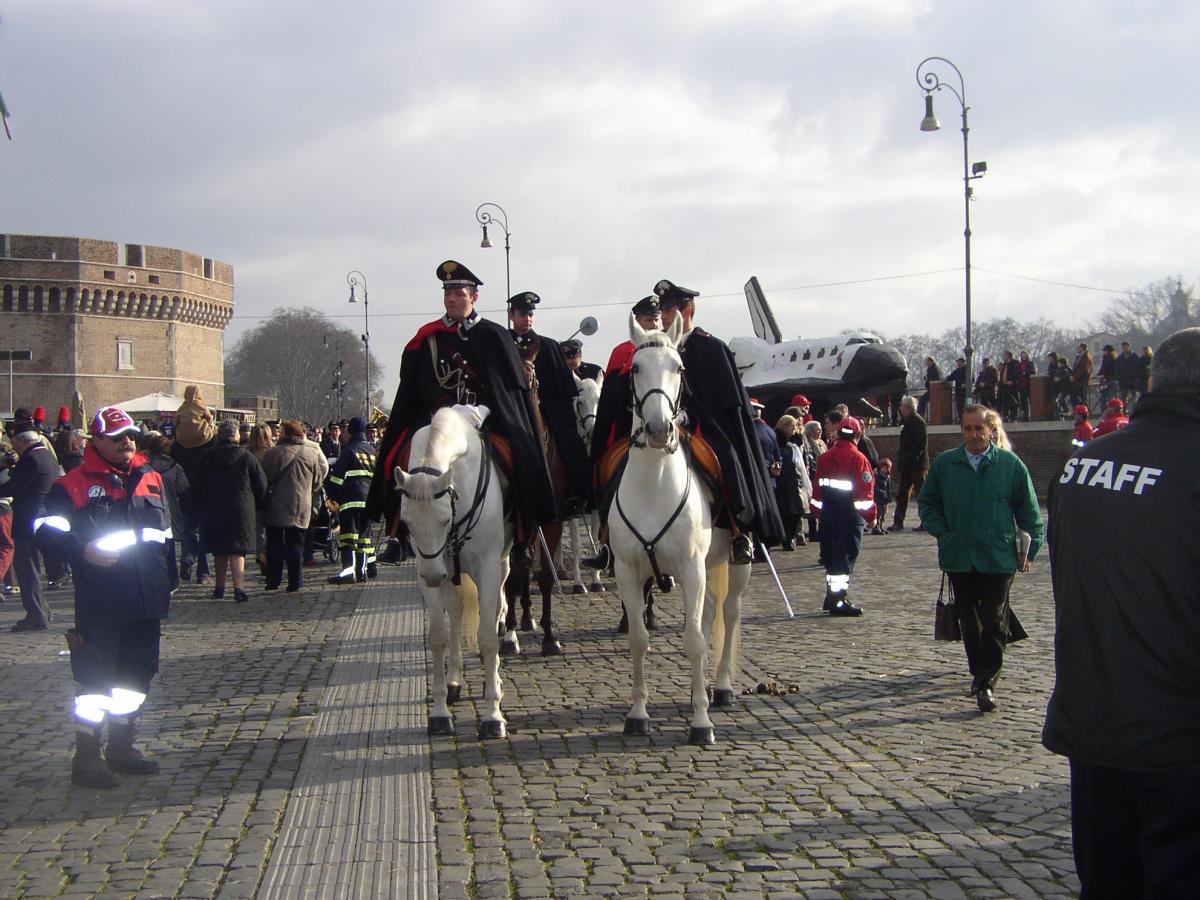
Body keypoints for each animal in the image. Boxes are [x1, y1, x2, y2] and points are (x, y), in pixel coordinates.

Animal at [394, 405, 512, 739]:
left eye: (445, 519)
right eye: (406, 523)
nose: (434, 576)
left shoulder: (487, 567)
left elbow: (487, 637)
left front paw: (493, 715)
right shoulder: (432, 570)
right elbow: (438, 637)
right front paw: (439, 712)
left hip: (501, 563)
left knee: (496, 610)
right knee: (457, 614)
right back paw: (455, 680)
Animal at [608, 313, 750, 745]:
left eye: (679, 368)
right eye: (635, 369)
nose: (658, 429)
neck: (654, 485)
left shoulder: (690, 568)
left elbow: (695, 641)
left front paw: (701, 723)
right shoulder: (628, 572)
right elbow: (639, 640)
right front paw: (637, 714)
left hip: (735, 564)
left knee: (728, 614)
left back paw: (720, 689)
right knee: (708, 615)